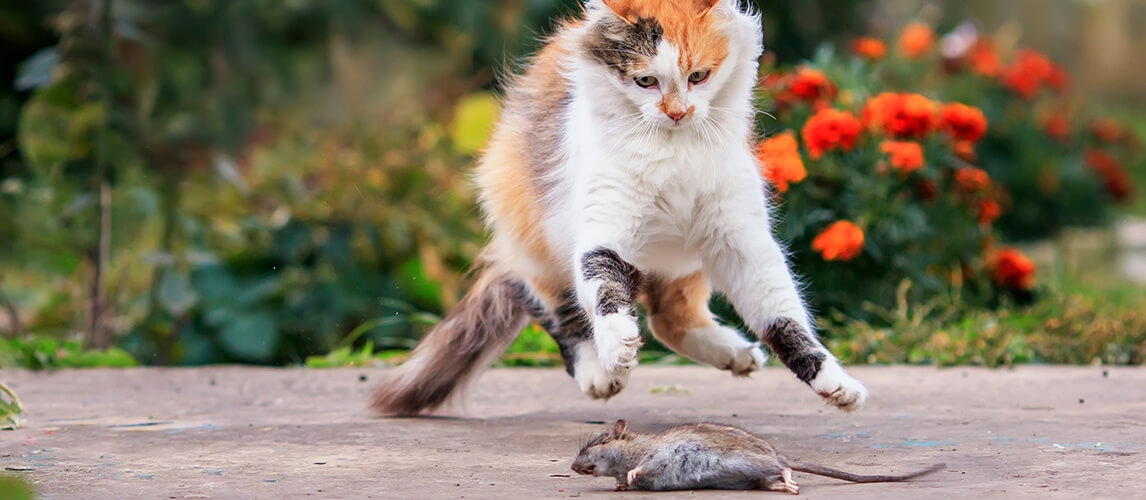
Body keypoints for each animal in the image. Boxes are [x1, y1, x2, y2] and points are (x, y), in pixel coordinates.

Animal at [371, 0, 861, 415]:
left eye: (699, 76)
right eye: (646, 81)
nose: (677, 112)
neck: (675, 153)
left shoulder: (741, 241)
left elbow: (785, 318)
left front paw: (834, 383)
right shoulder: (604, 228)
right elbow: (605, 287)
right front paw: (618, 342)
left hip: (685, 257)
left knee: (669, 317)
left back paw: (734, 353)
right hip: (536, 242)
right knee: (559, 312)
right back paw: (598, 372)